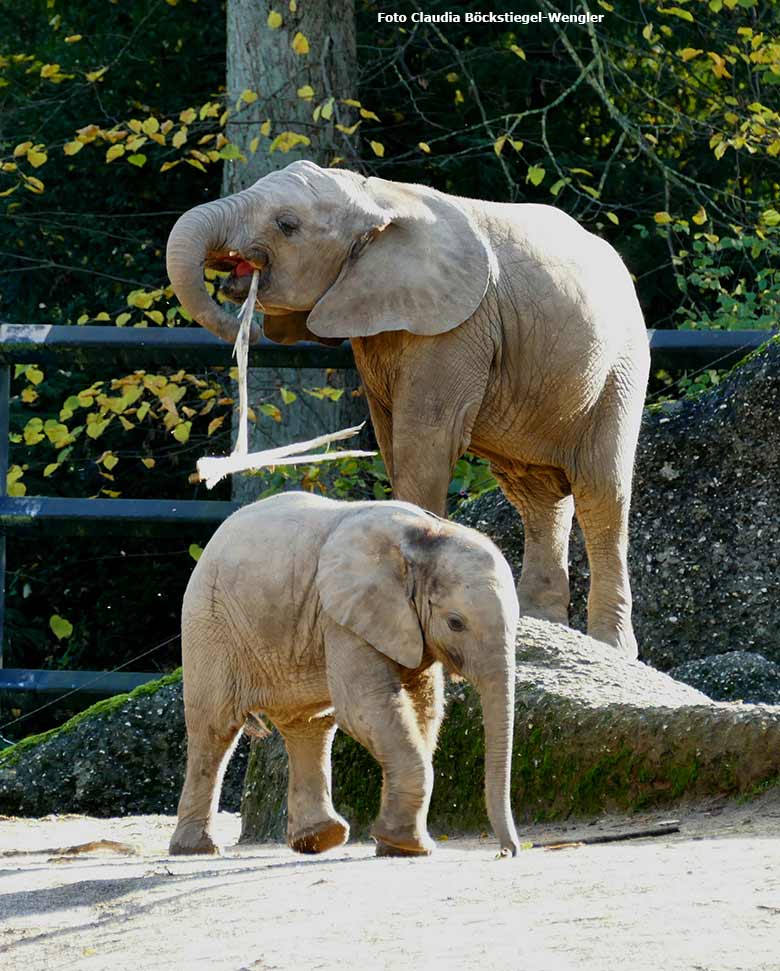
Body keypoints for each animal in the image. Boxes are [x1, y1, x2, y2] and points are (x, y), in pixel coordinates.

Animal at [168, 161, 648, 660]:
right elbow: (391, 439)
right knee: (536, 495)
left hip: (621, 367)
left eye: (287, 224)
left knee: (600, 490)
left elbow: (425, 437)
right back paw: (544, 626)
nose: (252, 333)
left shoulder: (456, 328)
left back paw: (609, 647)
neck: (379, 199)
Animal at [172, 494, 524, 860]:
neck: (426, 535)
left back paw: (320, 839)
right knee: (215, 726)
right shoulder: (345, 615)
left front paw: (398, 846)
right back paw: (197, 849)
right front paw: (406, 846)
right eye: (456, 623)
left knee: (309, 725)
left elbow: (423, 708)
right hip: (210, 622)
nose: (506, 852)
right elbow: (365, 707)